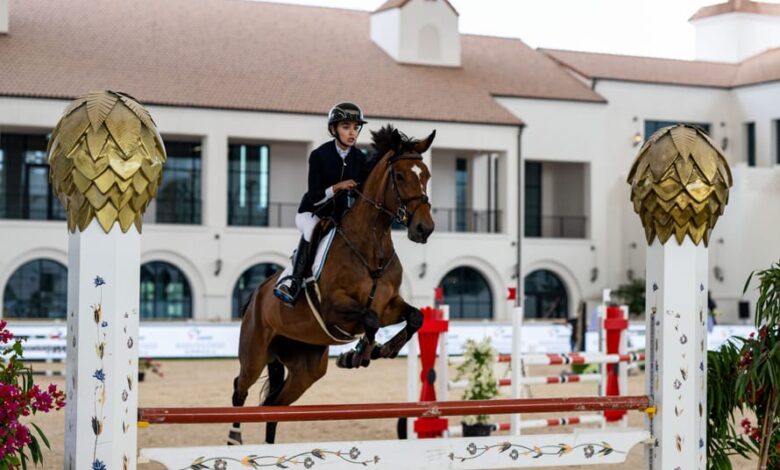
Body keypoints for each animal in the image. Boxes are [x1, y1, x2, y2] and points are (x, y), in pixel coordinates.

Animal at [229, 124, 436, 444]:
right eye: (400, 176)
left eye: (425, 175)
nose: (424, 229)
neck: (371, 245)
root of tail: (256, 295)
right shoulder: (333, 308)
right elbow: (369, 318)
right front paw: (360, 354)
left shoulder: (389, 305)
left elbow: (414, 317)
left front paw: (382, 350)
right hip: (255, 352)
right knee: (240, 387)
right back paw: (234, 438)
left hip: (307, 367)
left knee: (273, 405)